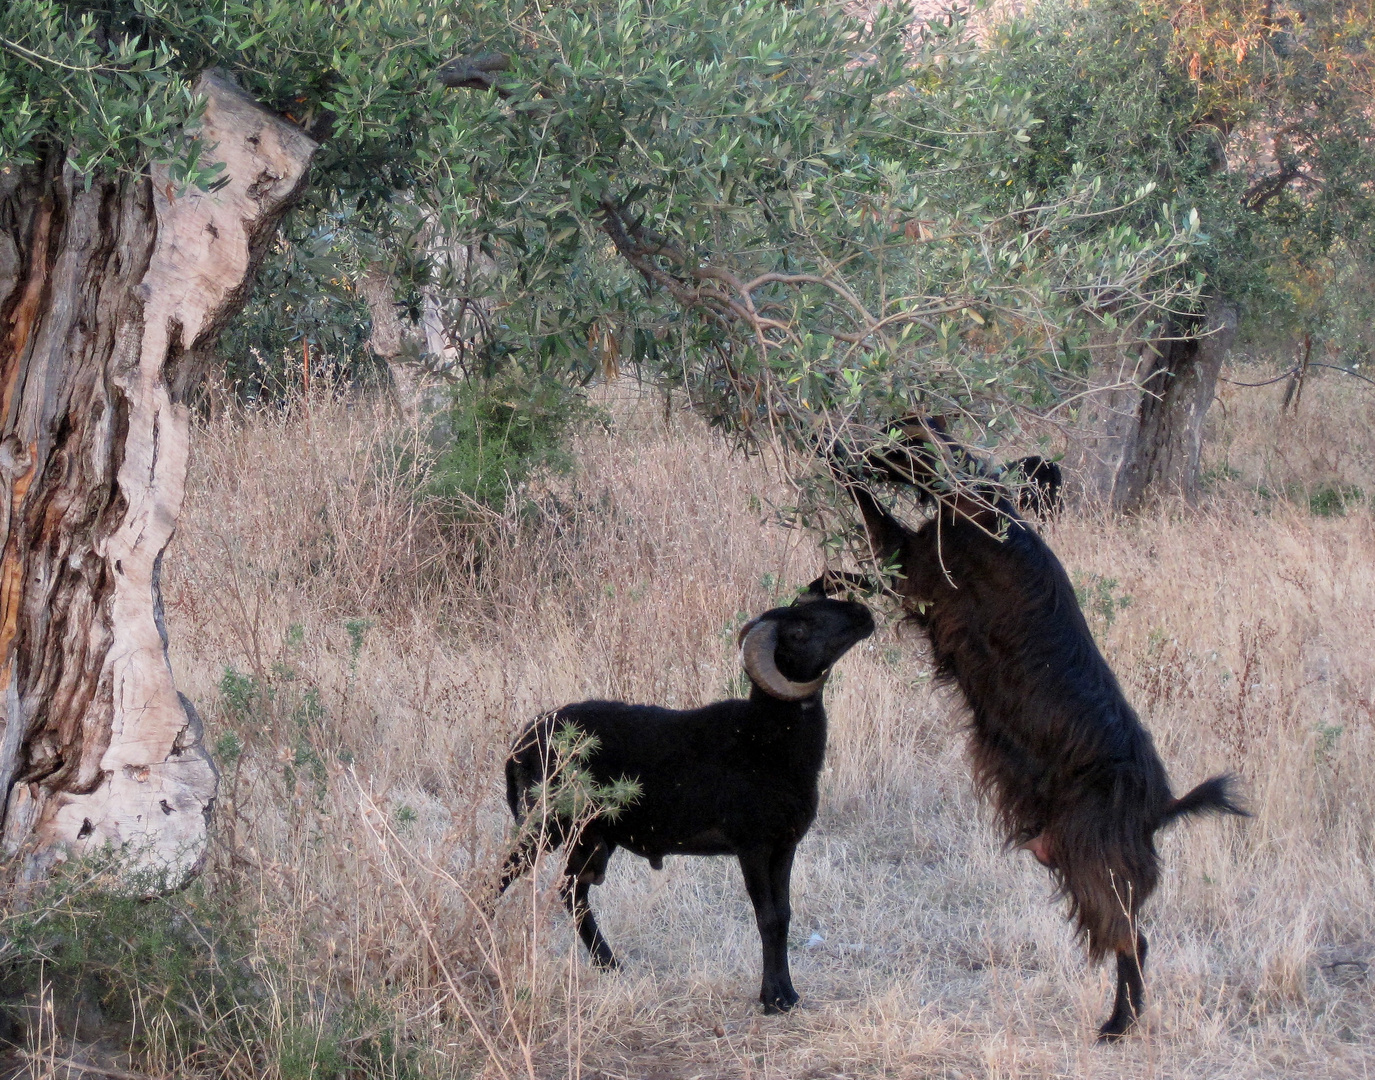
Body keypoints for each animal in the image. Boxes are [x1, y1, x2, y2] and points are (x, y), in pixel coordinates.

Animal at [500, 597, 874, 1012]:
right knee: (506, 874)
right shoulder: (753, 846)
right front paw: (773, 999)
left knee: (572, 891)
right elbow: (768, 918)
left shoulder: (784, 846)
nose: (863, 614)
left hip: (590, 837)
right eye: (798, 631)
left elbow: (784, 915)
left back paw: (611, 966)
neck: (767, 739)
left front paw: (788, 994)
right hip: (546, 826)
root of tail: (523, 741)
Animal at [825, 473, 1248, 1034]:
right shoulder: (912, 574)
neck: (992, 518)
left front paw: (843, 462)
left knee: (1133, 941)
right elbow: (857, 570)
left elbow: (871, 512)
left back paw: (1118, 1025)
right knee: (1132, 938)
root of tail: (1162, 806)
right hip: (1074, 861)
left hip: (1096, 867)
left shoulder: (918, 568)